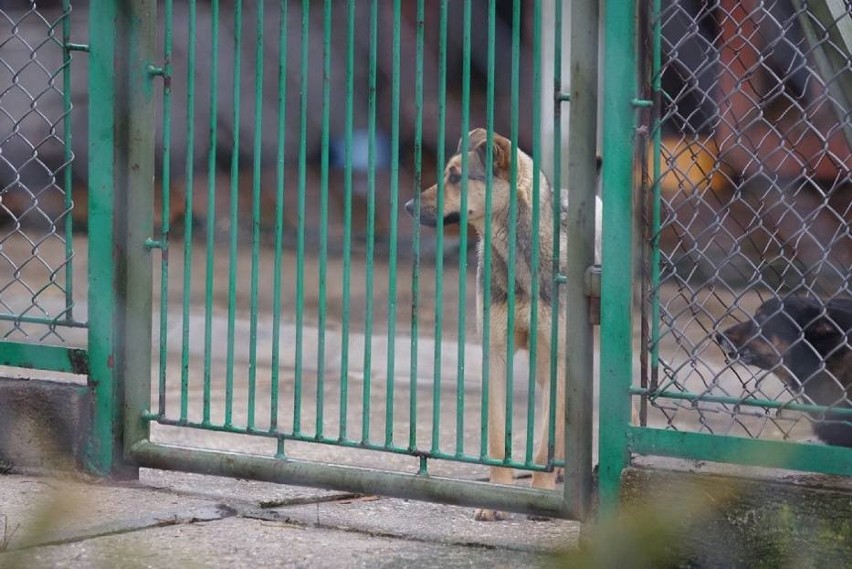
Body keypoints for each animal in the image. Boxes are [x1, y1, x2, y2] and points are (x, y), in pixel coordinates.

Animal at [404, 129, 592, 520]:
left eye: (456, 176)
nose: (408, 207)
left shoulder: (560, 359)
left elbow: (544, 444)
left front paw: (542, 494)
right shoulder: (496, 355)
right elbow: (496, 436)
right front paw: (497, 498)